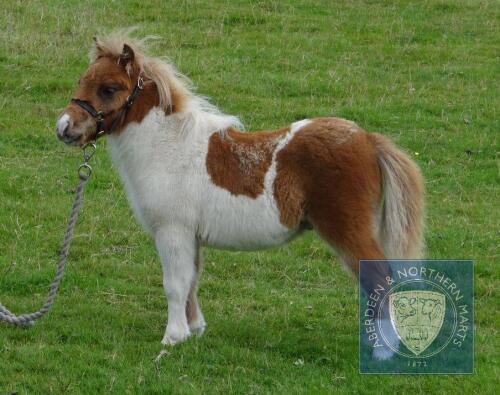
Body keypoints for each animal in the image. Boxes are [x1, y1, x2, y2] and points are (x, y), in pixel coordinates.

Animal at [54, 33, 424, 352]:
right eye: (81, 80)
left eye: (109, 88)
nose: (64, 128)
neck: (168, 147)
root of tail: (368, 140)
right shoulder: (190, 236)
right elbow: (191, 280)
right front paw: (194, 330)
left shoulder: (172, 231)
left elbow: (174, 283)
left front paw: (172, 338)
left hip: (348, 231)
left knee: (379, 278)